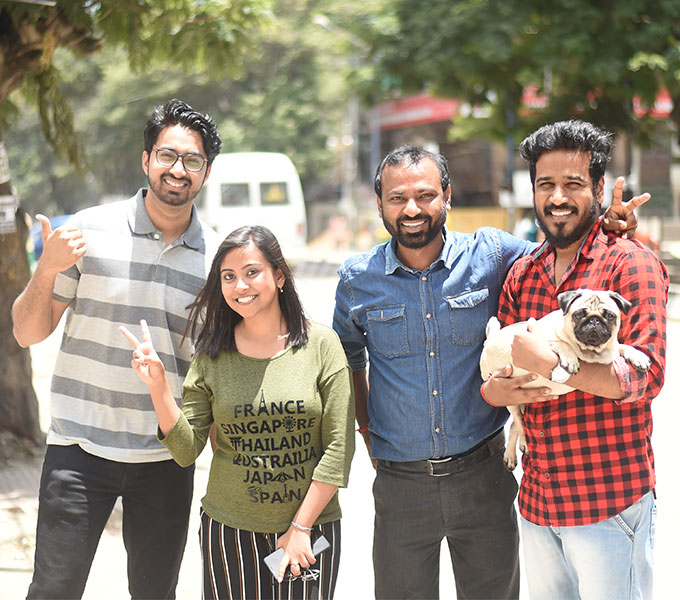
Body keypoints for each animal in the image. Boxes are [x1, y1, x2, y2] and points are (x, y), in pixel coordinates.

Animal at [480, 288, 652, 472]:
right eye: (579, 314)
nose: (594, 320)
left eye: (610, 316)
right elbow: (562, 343)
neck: (590, 352)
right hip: (510, 397)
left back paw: (513, 454)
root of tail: (491, 338)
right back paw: (520, 447)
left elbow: (623, 346)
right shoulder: (543, 337)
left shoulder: (611, 350)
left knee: (515, 424)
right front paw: (570, 360)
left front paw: (638, 356)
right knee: (519, 422)